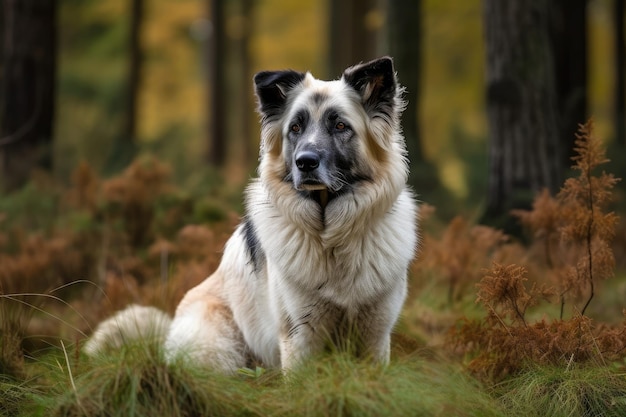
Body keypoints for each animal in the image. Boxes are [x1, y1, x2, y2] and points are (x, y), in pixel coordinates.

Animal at [85, 57, 416, 372]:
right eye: (295, 128)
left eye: (340, 126)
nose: (305, 162)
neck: (330, 239)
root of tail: (167, 332)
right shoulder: (300, 335)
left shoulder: (375, 335)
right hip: (219, 347)